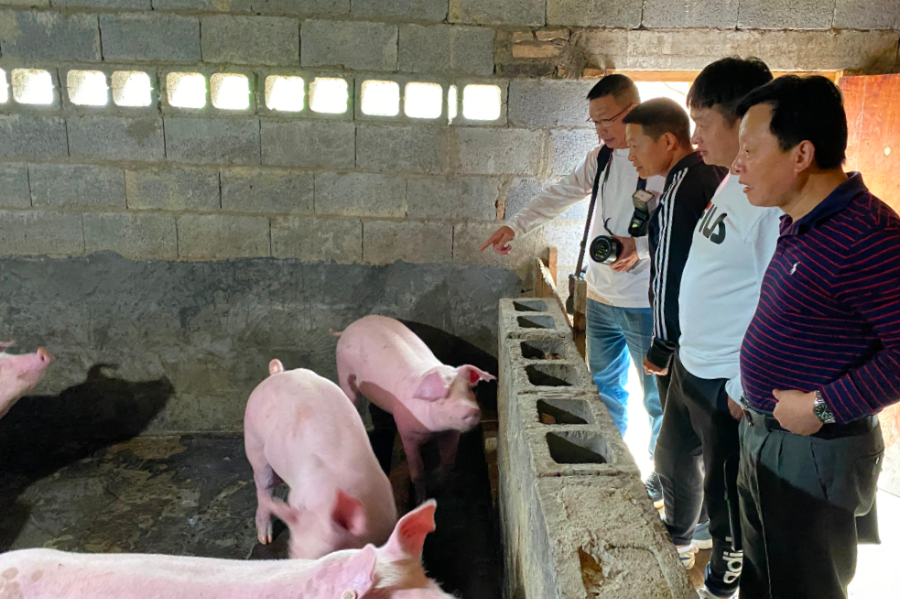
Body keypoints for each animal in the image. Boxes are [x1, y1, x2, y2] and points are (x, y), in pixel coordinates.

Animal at [334, 316, 496, 500]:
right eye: (442, 396)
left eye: (470, 389)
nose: (472, 410)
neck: (433, 431)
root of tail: (350, 327)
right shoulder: (408, 433)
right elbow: (417, 473)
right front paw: (422, 498)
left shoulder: (450, 432)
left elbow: (449, 460)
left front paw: (434, 480)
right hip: (343, 369)